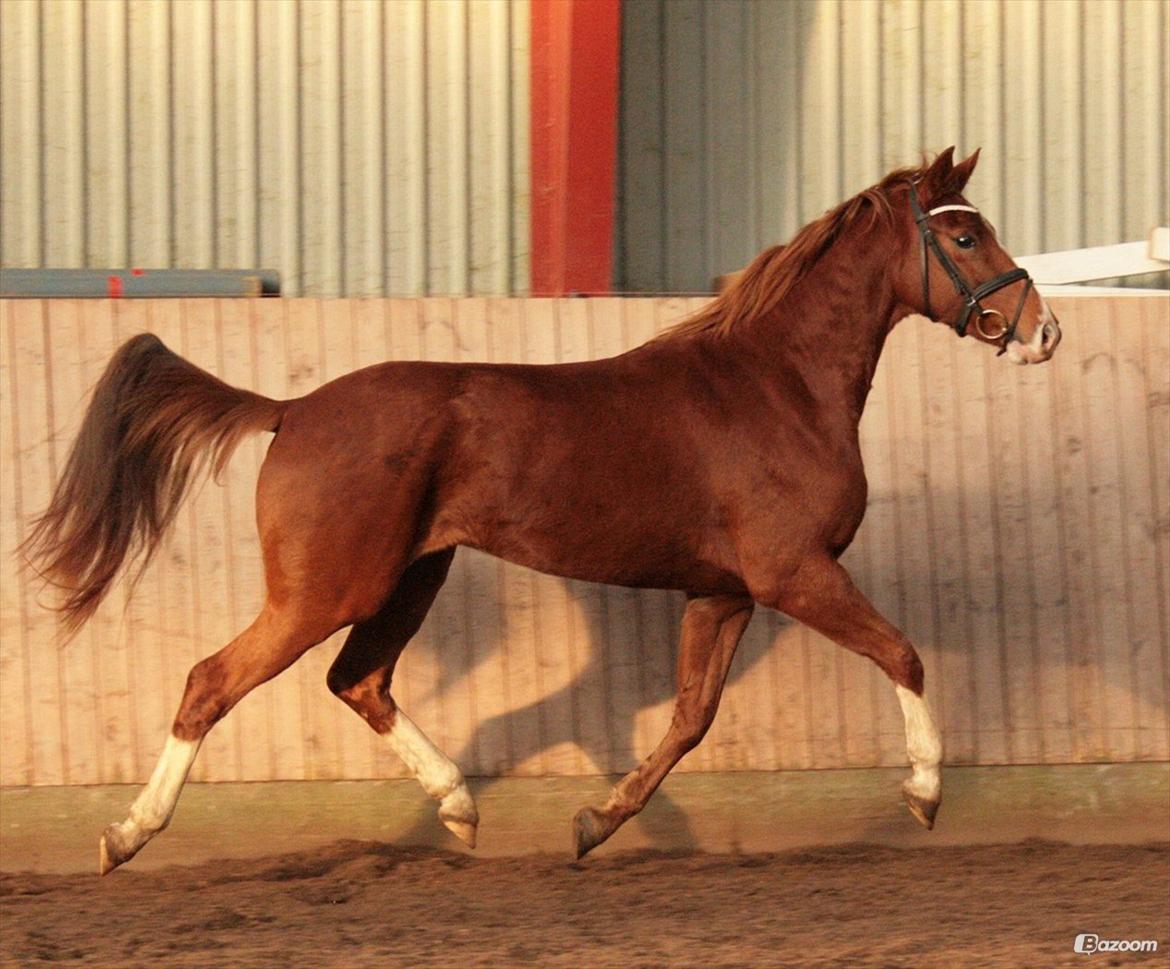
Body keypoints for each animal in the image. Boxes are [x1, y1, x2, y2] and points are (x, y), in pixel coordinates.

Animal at [22, 147, 1062, 875]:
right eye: (963, 237)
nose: (1042, 330)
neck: (776, 384)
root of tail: (293, 409)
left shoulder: (721, 593)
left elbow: (690, 718)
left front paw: (593, 823)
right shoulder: (793, 572)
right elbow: (903, 653)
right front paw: (925, 793)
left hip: (413, 575)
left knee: (359, 681)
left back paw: (458, 806)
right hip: (327, 588)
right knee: (212, 682)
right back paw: (125, 834)